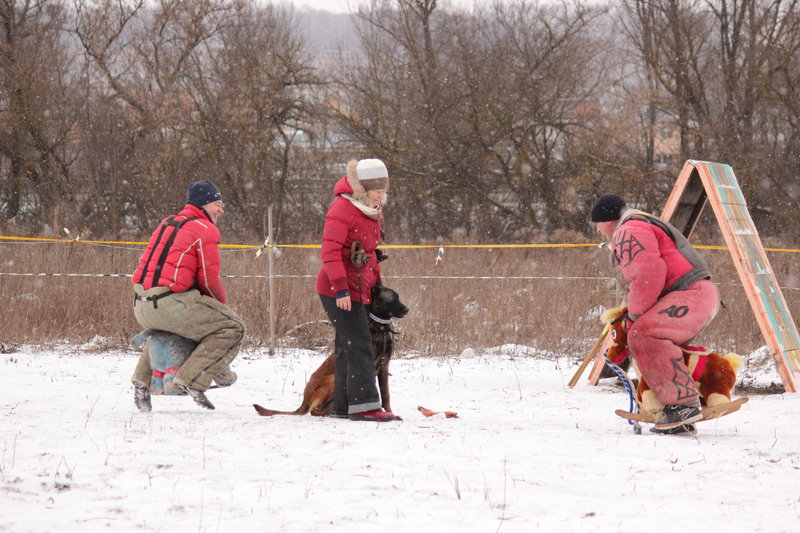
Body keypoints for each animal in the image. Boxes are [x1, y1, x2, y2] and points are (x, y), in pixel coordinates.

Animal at [253, 286, 410, 416]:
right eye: (392, 300)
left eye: (398, 297)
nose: (407, 309)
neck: (380, 328)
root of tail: (304, 401)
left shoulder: (384, 366)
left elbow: (385, 395)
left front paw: (390, 413)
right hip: (332, 379)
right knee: (314, 411)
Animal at [604, 306, 740, 418]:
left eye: (614, 333)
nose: (609, 356)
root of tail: (728, 363)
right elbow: (640, 398)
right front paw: (643, 414)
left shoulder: (649, 380)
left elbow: (646, 395)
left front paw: (653, 411)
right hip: (703, 391)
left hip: (715, 387)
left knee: (721, 403)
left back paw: (715, 411)